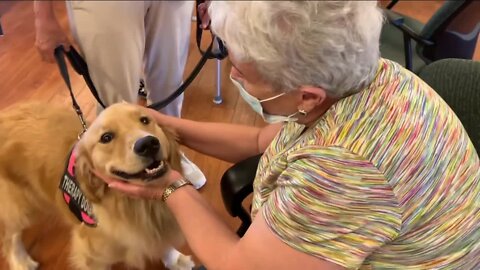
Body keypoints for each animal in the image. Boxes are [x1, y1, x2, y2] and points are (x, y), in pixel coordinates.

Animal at [0, 102, 195, 270]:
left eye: (145, 120)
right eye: (106, 137)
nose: (147, 144)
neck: (138, 205)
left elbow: (163, 244)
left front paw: (175, 260)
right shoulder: (91, 255)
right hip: (20, 208)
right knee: (9, 237)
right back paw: (21, 262)